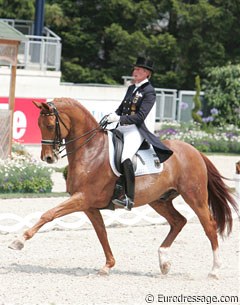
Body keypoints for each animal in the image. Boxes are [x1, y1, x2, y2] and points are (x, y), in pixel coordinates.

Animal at [8, 98, 238, 278]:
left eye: (49, 125)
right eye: (39, 125)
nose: (48, 158)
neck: (90, 150)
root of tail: (195, 151)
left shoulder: (82, 198)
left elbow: (49, 214)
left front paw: (18, 241)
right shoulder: (89, 205)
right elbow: (101, 233)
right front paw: (107, 266)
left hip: (194, 196)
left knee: (209, 226)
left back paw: (214, 270)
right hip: (159, 200)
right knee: (178, 221)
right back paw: (164, 262)